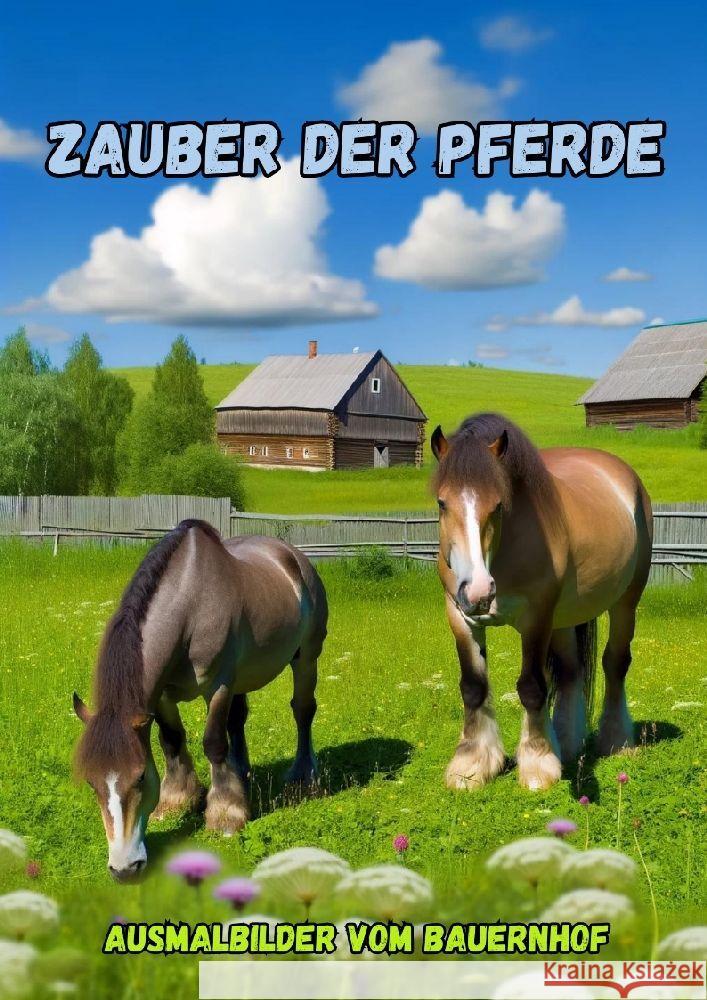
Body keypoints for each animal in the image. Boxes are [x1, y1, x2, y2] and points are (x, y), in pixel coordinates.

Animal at [73, 519, 328, 880]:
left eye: (140, 776)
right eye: (91, 783)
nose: (124, 868)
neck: (189, 604)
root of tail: (293, 557)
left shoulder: (218, 686)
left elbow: (213, 743)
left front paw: (225, 813)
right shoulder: (163, 696)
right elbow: (172, 741)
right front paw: (176, 800)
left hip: (306, 657)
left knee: (303, 712)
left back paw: (303, 777)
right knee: (238, 720)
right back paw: (242, 773)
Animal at [431, 413, 652, 792]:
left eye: (498, 505)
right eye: (443, 503)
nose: (478, 591)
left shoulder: (536, 619)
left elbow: (532, 688)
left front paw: (536, 764)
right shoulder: (459, 616)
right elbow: (473, 687)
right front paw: (471, 766)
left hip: (625, 601)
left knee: (615, 664)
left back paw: (616, 740)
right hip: (563, 620)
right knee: (571, 671)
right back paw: (566, 742)